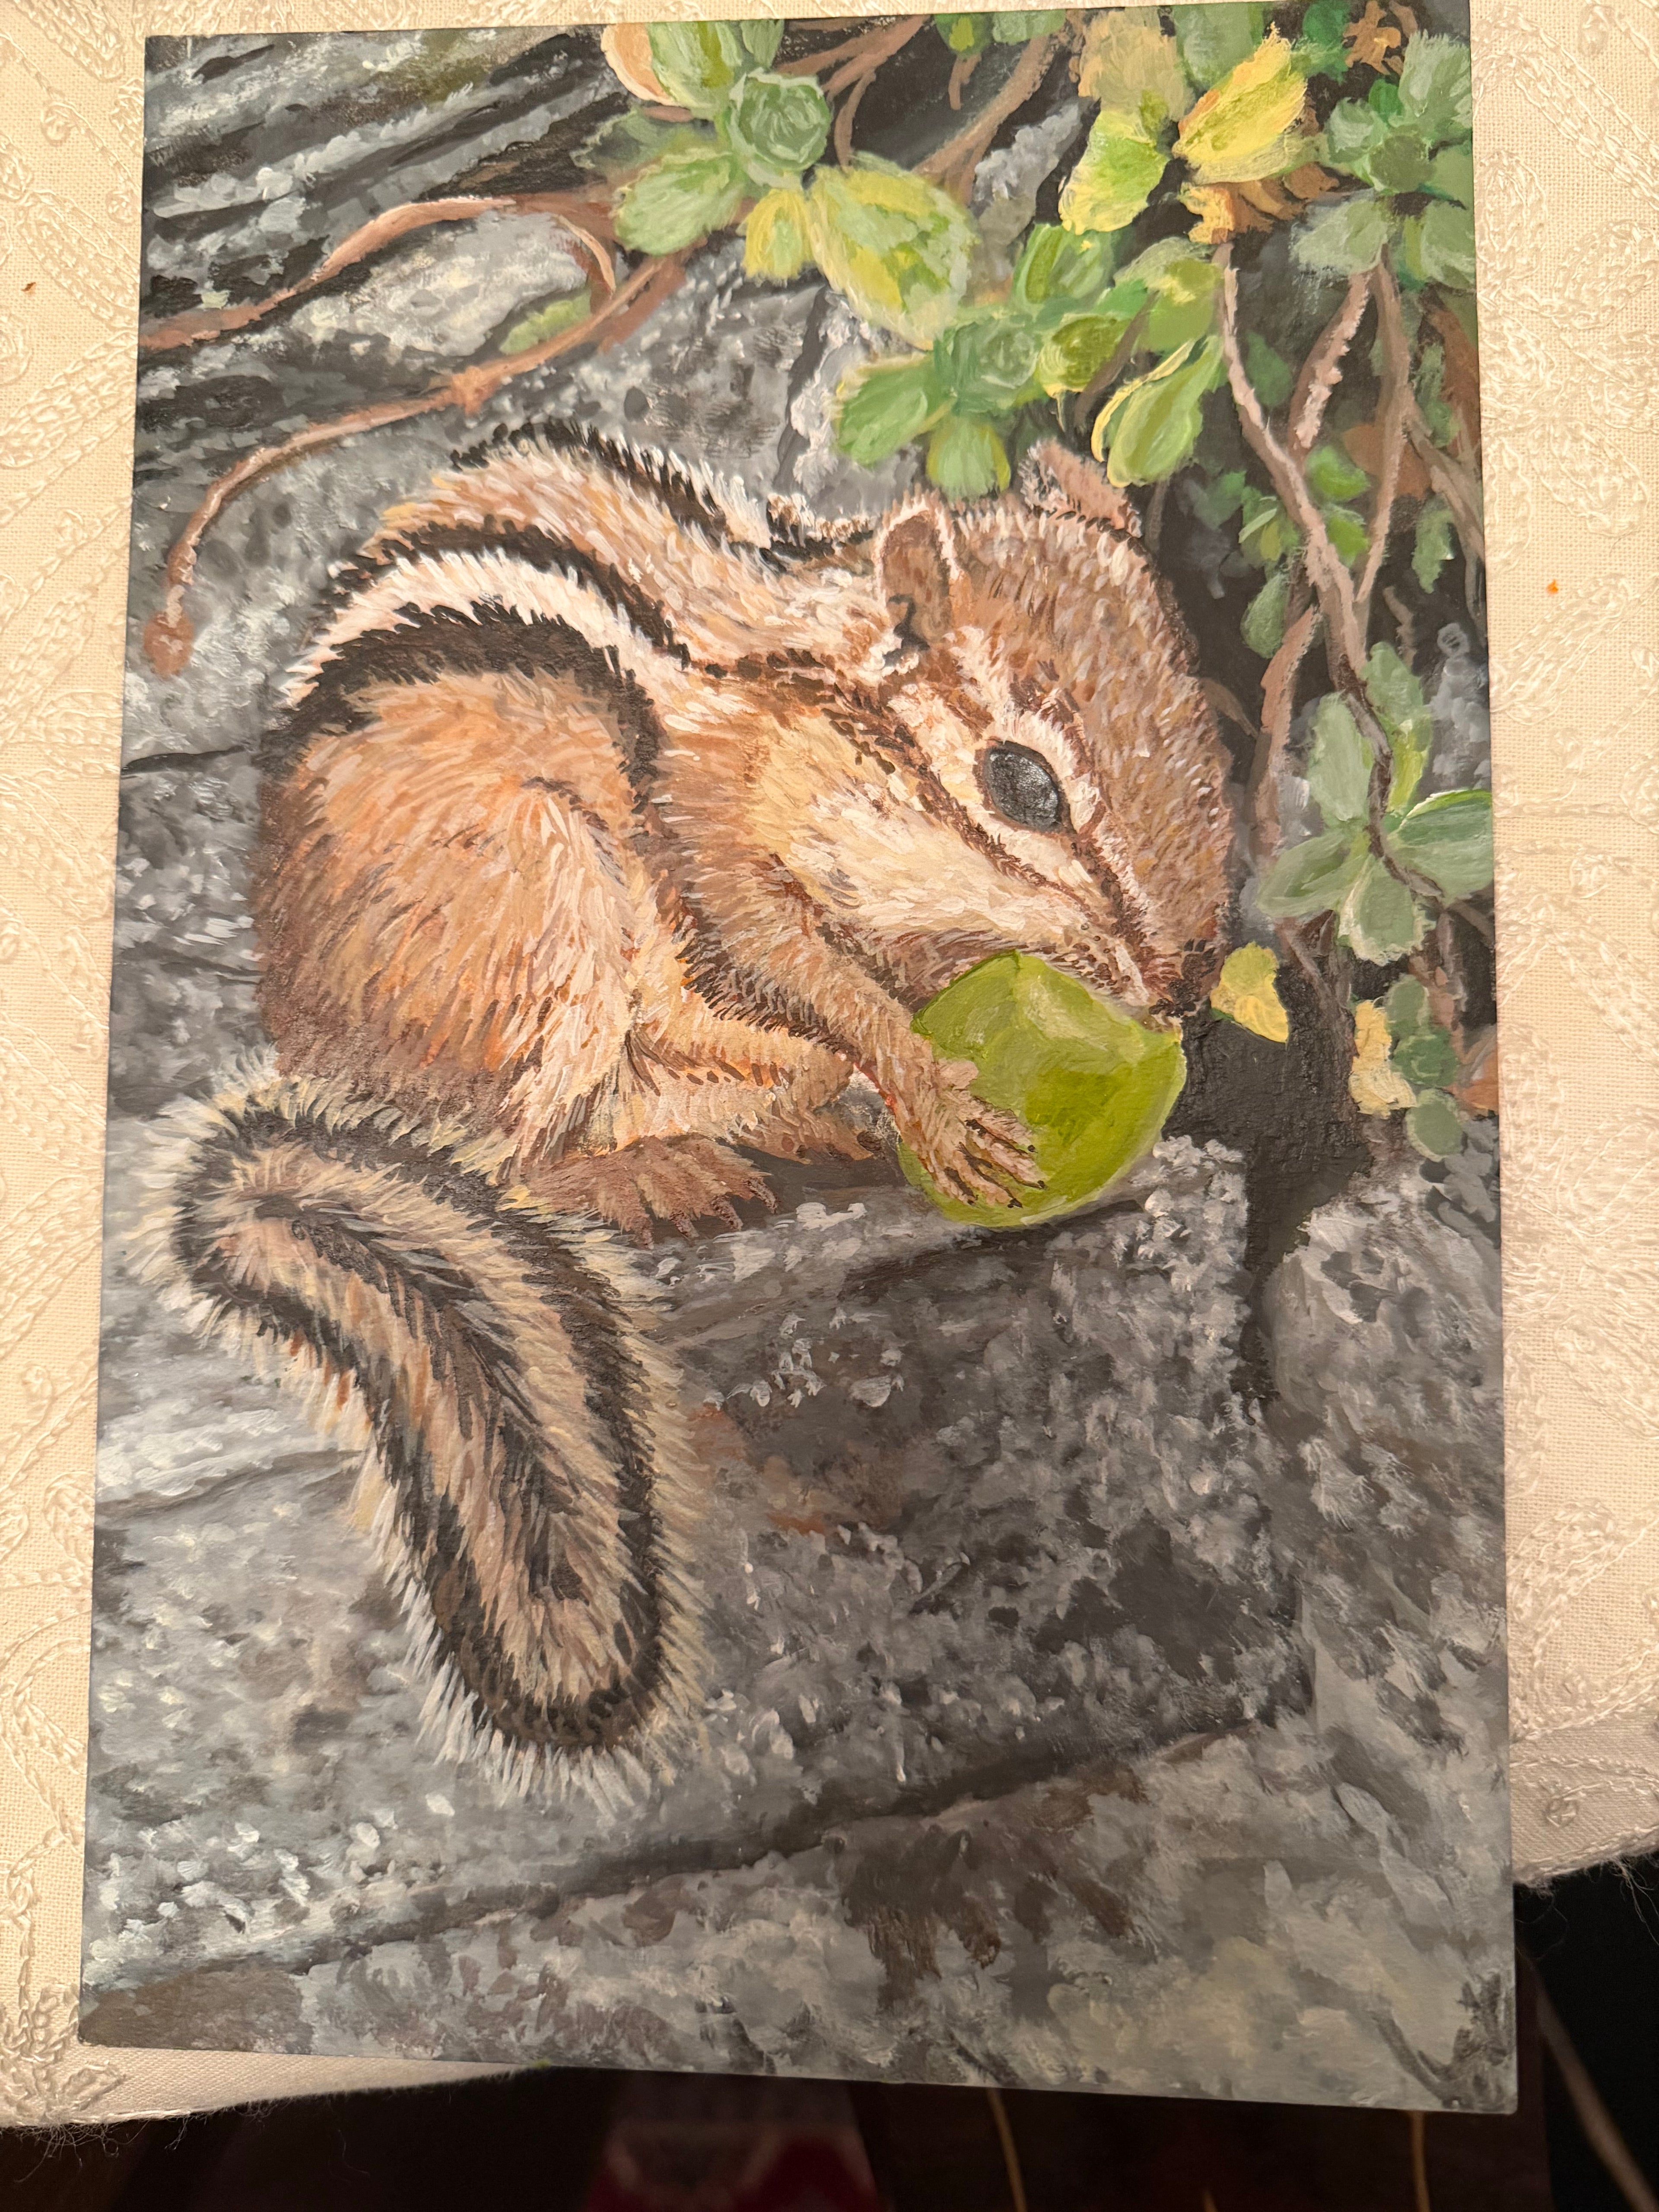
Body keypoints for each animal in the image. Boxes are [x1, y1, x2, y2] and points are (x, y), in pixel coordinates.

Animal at [149, 424, 1235, 1793]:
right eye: (1023, 784)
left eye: (1205, 726)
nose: (1187, 985)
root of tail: (316, 1050)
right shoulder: (715, 830)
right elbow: (801, 966)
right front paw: (927, 1092)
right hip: (538, 901)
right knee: (513, 1149)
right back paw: (647, 1176)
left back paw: (790, 1127)